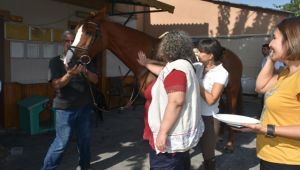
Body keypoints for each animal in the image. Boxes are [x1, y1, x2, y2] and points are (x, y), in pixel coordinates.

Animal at [64, 11, 243, 152]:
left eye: (88, 32)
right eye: (75, 32)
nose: (68, 61)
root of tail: (231, 55)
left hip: (232, 90)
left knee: (233, 111)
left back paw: (230, 144)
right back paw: (219, 136)